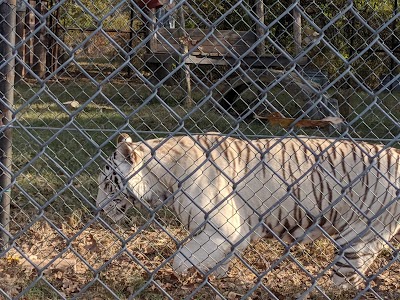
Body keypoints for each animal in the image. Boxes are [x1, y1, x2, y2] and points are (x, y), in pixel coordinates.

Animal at [97, 134, 400, 288]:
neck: (163, 180)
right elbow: (218, 261)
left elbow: (181, 261)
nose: (98, 209)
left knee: (344, 283)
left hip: (358, 240)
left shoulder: (223, 229)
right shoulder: (232, 235)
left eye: (107, 184)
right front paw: (215, 279)